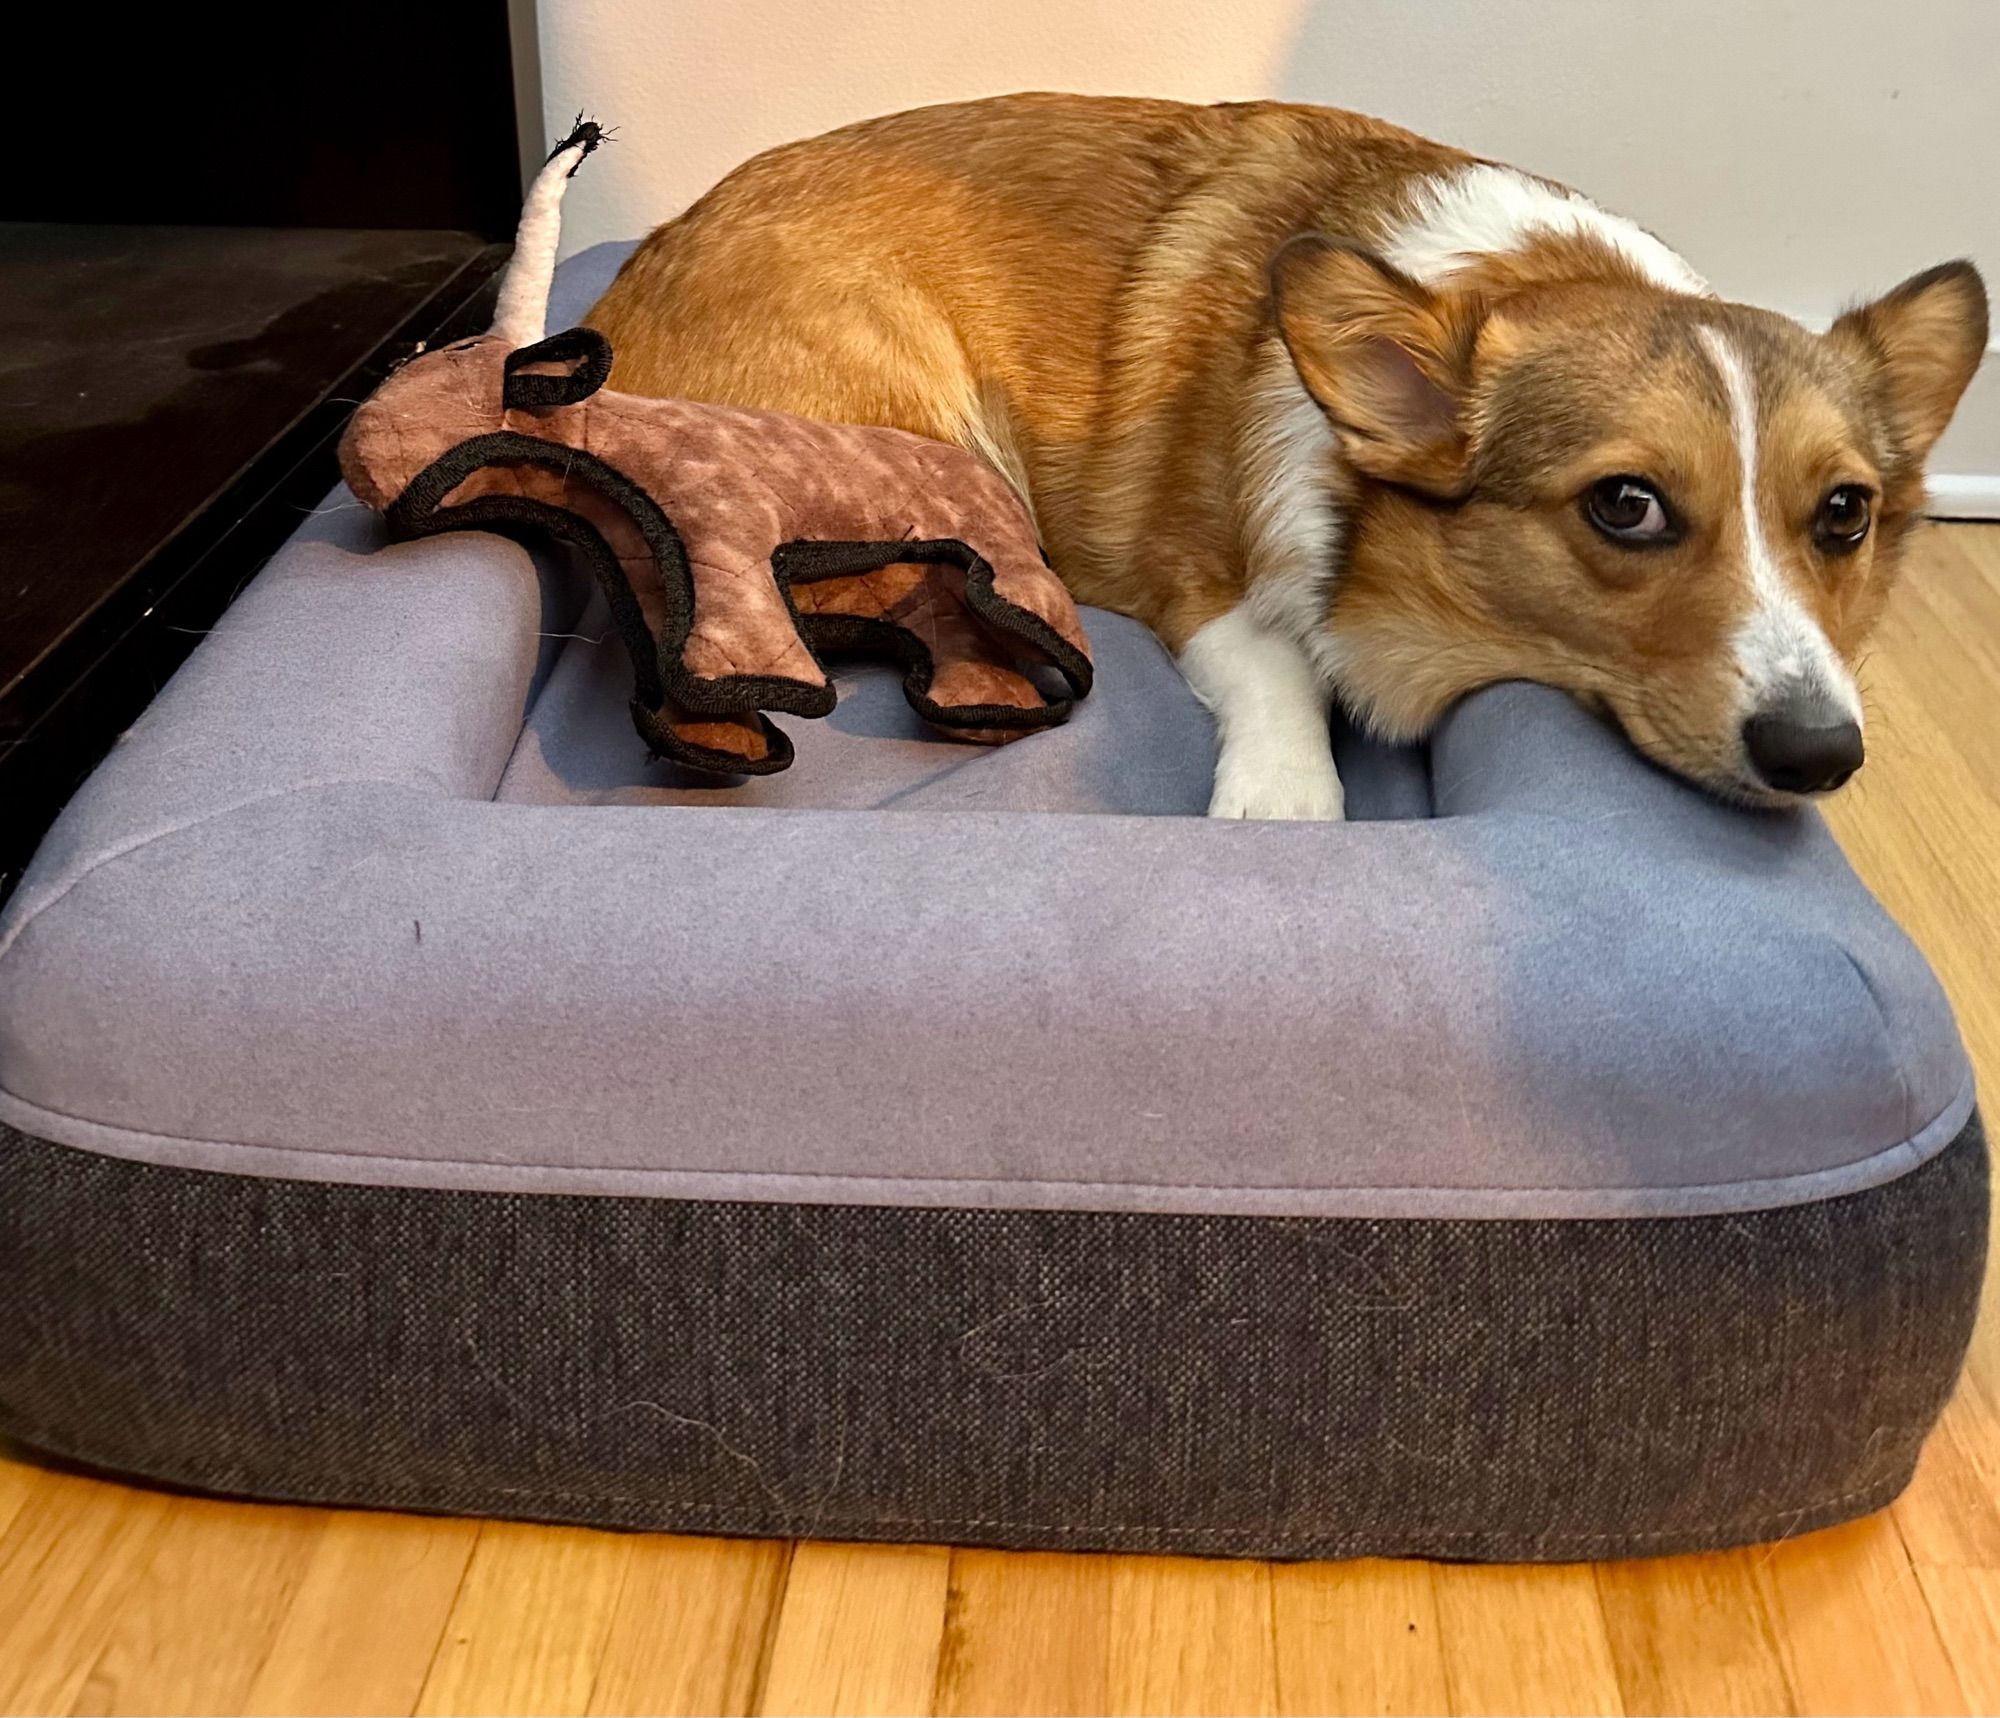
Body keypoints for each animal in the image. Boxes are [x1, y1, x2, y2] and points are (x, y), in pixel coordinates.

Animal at [584, 94, 1984, 820]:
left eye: (1843, 514)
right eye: (1625, 505)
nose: (1819, 758)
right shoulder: (1206, 586)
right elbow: (1280, 683)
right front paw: (1285, 806)